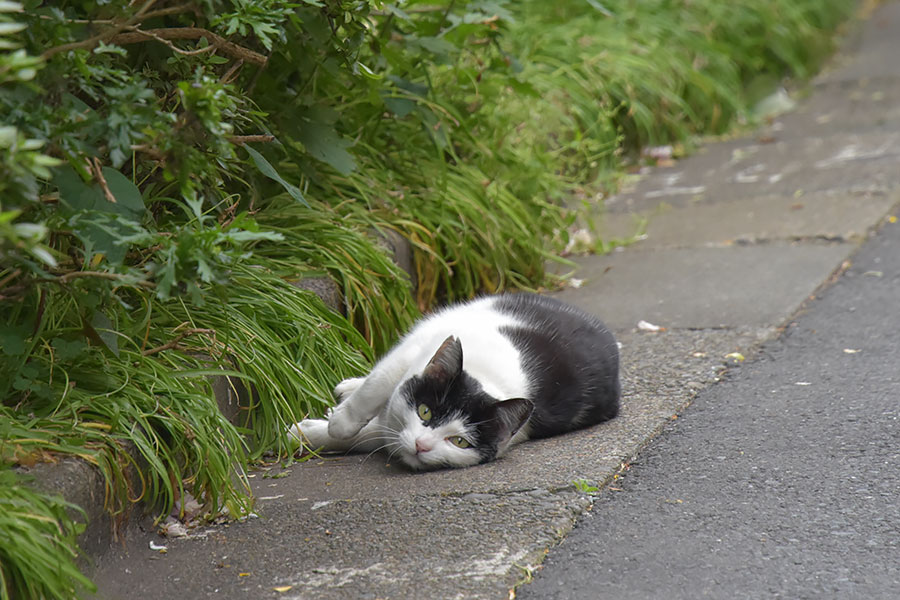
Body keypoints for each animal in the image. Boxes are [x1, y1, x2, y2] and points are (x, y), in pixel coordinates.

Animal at [288, 292, 620, 472]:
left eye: (459, 441)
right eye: (425, 411)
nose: (422, 446)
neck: (487, 374)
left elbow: (373, 435)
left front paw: (307, 434)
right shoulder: (410, 352)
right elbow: (377, 385)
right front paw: (337, 425)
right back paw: (349, 387)